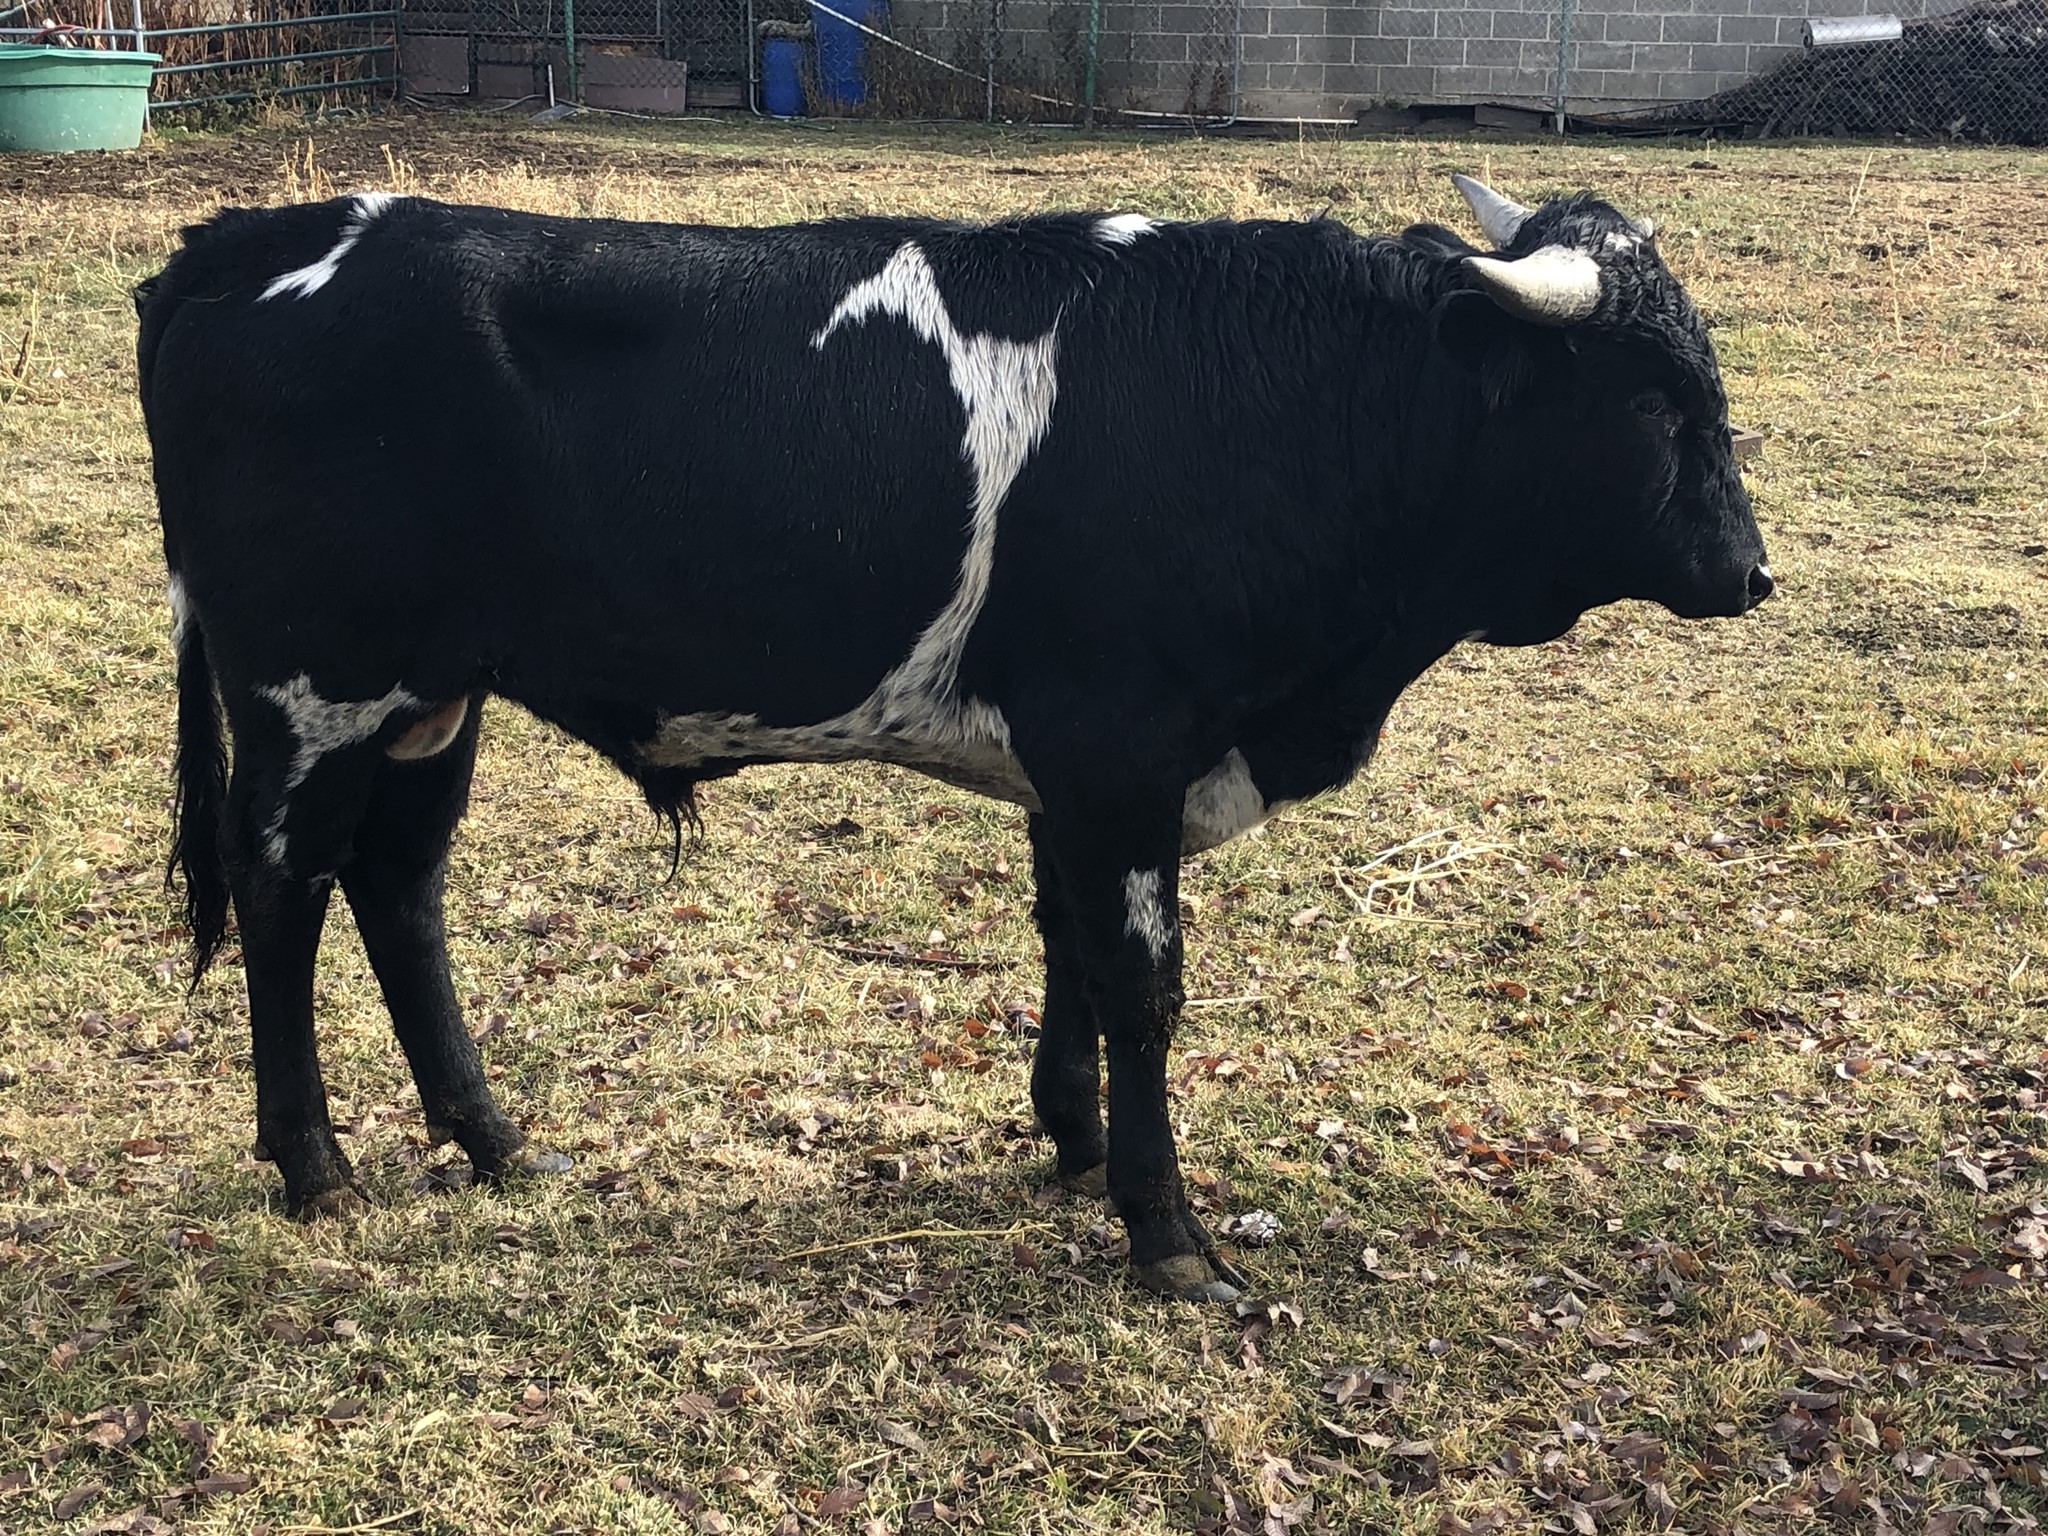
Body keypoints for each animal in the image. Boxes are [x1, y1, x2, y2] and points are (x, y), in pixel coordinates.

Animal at [136, 175, 1772, 1303]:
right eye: (1656, 394)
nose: (1752, 573)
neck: (1280, 399)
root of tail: (249, 238)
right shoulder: (1123, 747)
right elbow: (1142, 983)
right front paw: (1167, 1233)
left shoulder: (1079, 766)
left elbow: (1069, 948)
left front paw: (1076, 1143)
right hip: (310, 694)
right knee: (282, 892)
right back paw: (315, 1166)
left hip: (433, 701)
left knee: (397, 889)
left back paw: (491, 1137)